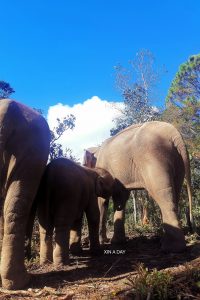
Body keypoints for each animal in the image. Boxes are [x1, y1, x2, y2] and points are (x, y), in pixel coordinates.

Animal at [83, 120, 192, 252]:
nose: (105, 240)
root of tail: (174, 134)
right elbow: (120, 197)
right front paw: (117, 242)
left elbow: (104, 201)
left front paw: (106, 241)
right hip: (177, 161)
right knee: (175, 192)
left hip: (154, 158)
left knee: (162, 194)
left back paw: (171, 248)